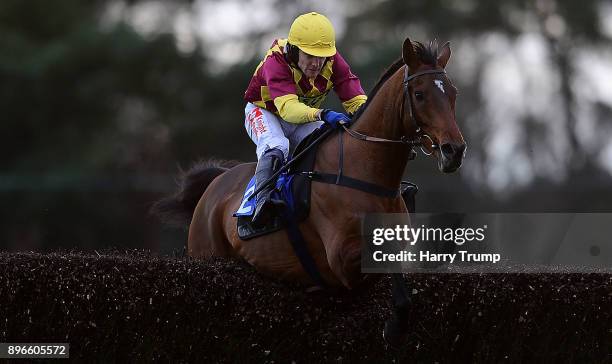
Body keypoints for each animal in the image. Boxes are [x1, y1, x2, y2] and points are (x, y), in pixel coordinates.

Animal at [155, 37, 466, 346]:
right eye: (420, 94)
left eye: (453, 93)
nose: (454, 150)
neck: (364, 171)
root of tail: (215, 184)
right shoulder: (341, 259)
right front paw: (394, 327)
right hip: (207, 252)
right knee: (274, 148)